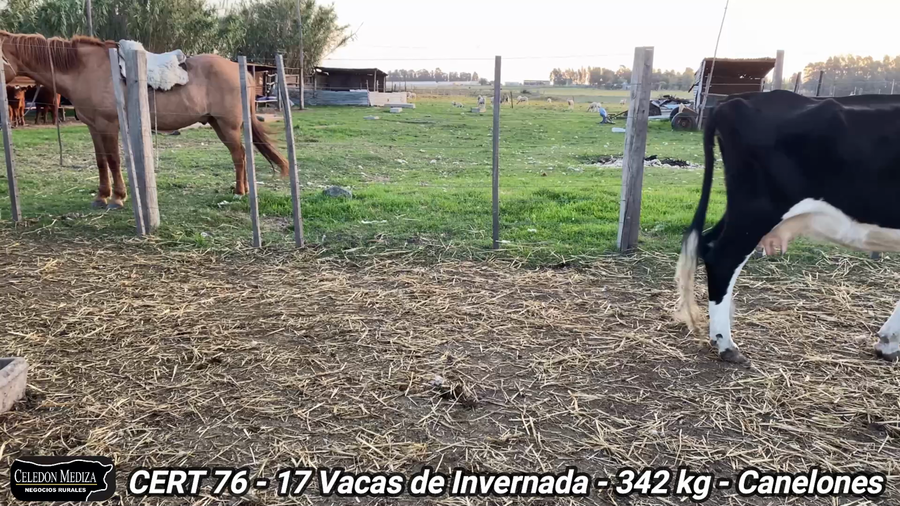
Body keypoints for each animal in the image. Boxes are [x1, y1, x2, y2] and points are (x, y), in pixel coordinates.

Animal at [673, 89, 900, 366]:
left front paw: (888, 342)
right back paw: (726, 344)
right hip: (759, 209)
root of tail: (735, 100)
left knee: (708, 243)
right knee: (723, 257)